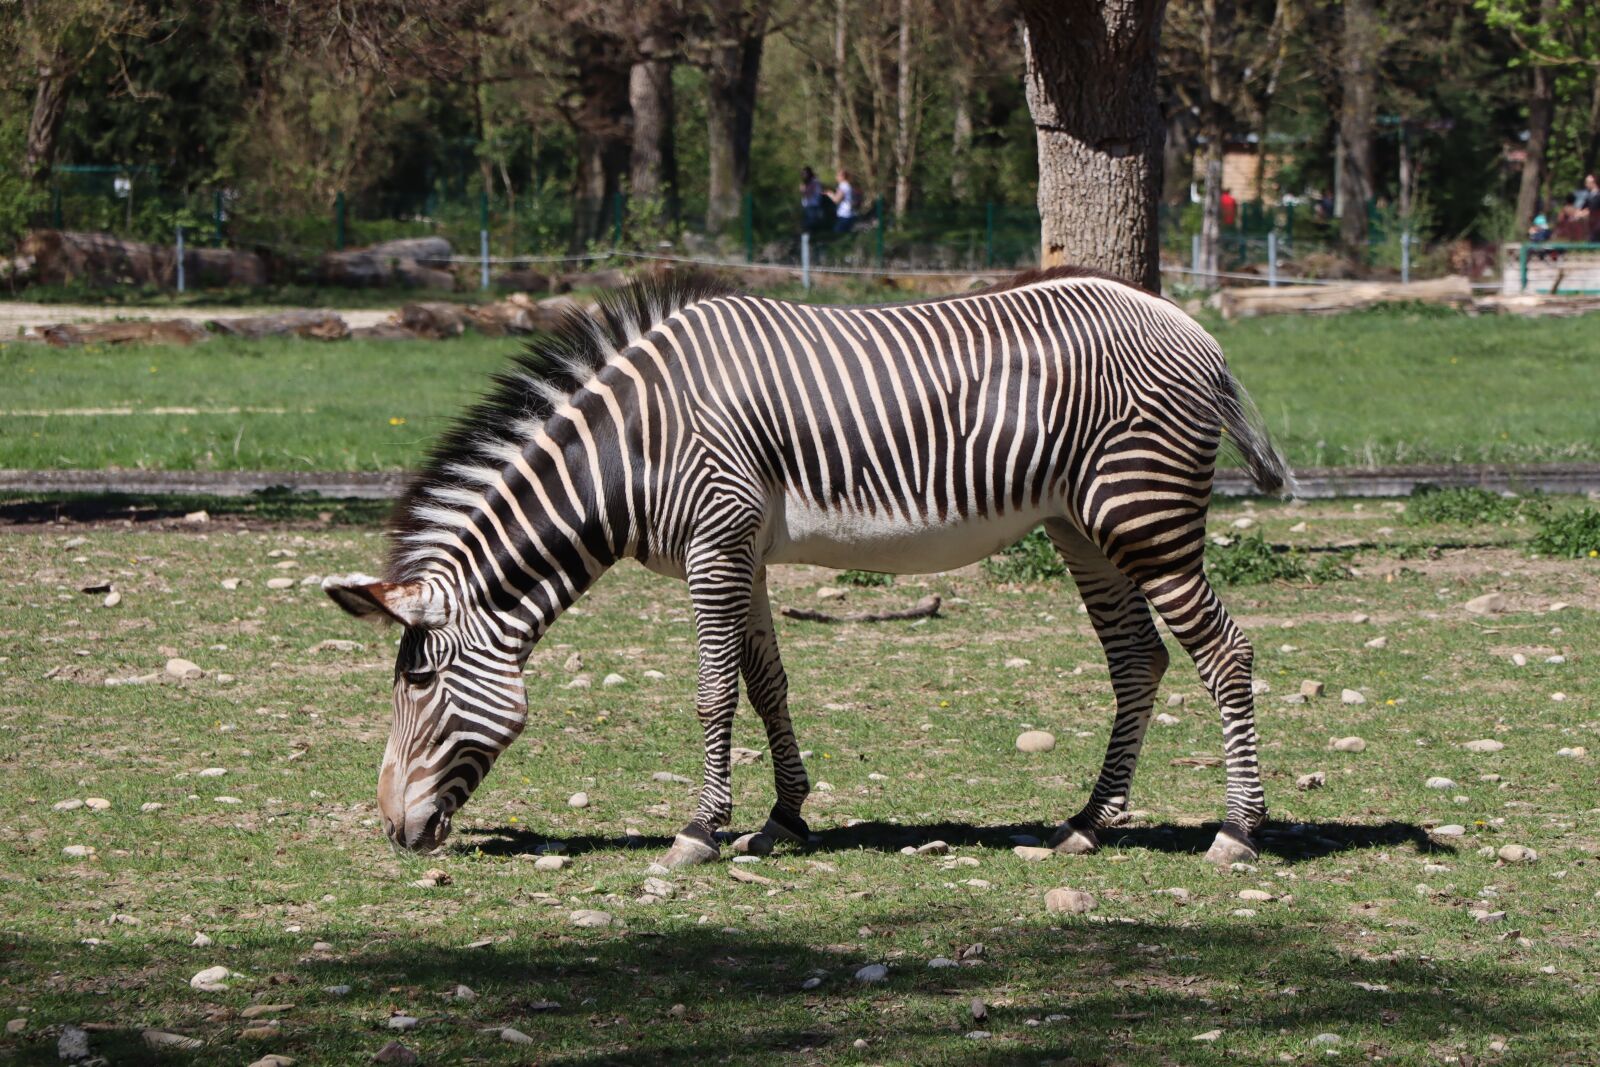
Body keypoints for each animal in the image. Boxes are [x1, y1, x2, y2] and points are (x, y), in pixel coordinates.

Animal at [321, 265, 1286, 870]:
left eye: (415, 684)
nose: (392, 829)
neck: (633, 448)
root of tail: (1193, 328)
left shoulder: (715, 540)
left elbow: (714, 690)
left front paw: (699, 829)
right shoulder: (740, 549)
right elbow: (766, 682)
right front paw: (782, 819)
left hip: (1144, 515)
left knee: (1224, 655)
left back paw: (1239, 829)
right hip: (1083, 526)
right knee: (1140, 659)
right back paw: (1089, 823)